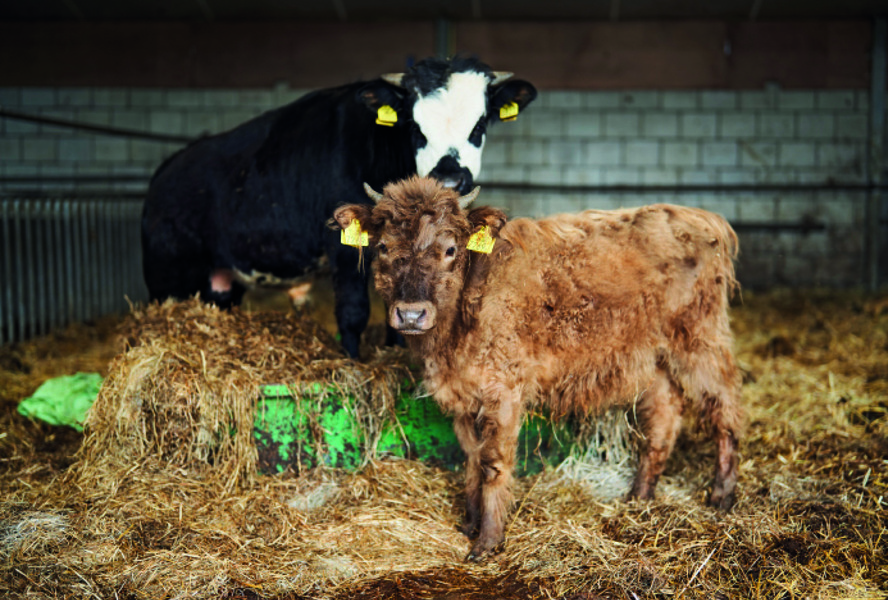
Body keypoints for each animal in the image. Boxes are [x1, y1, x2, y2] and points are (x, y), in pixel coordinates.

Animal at [141, 56, 537, 358]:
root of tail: (166, 170)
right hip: (167, 277)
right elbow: (353, 310)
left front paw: (395, 354)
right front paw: (353, 361)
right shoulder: (344, 245)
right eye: (414, 127)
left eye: (480, 125)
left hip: (222, 282)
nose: (451, 178)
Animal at [333, 176, 744, 560]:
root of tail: (702, 217)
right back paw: (639, 496)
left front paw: (488, 541)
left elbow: (493, 463)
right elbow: (471, 458)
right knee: (664, 415)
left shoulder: (504, 391)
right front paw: (469, 522)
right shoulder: (464, 395)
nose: (411, 314)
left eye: (449, 249)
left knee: (725, 406)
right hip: (653, 356)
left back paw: (721, 496)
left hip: (700, 340)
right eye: (383, 247)